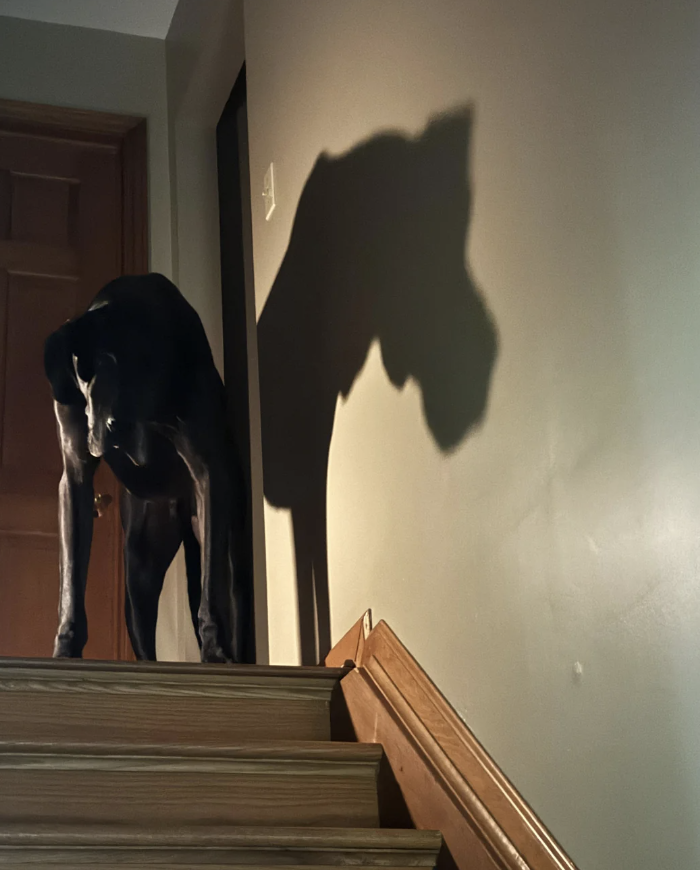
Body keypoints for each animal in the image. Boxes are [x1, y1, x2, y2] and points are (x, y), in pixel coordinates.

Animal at [43, 276, 252, 664]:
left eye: (145, 363)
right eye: (87, 370)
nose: (117, 429)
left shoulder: (208, 473)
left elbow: (211, 592)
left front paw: (215, 650)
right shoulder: (75, 475)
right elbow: (71, 583)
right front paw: (66, 647)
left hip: (229, 543)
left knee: (231, 590)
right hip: (139, 571)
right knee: (144, 636)